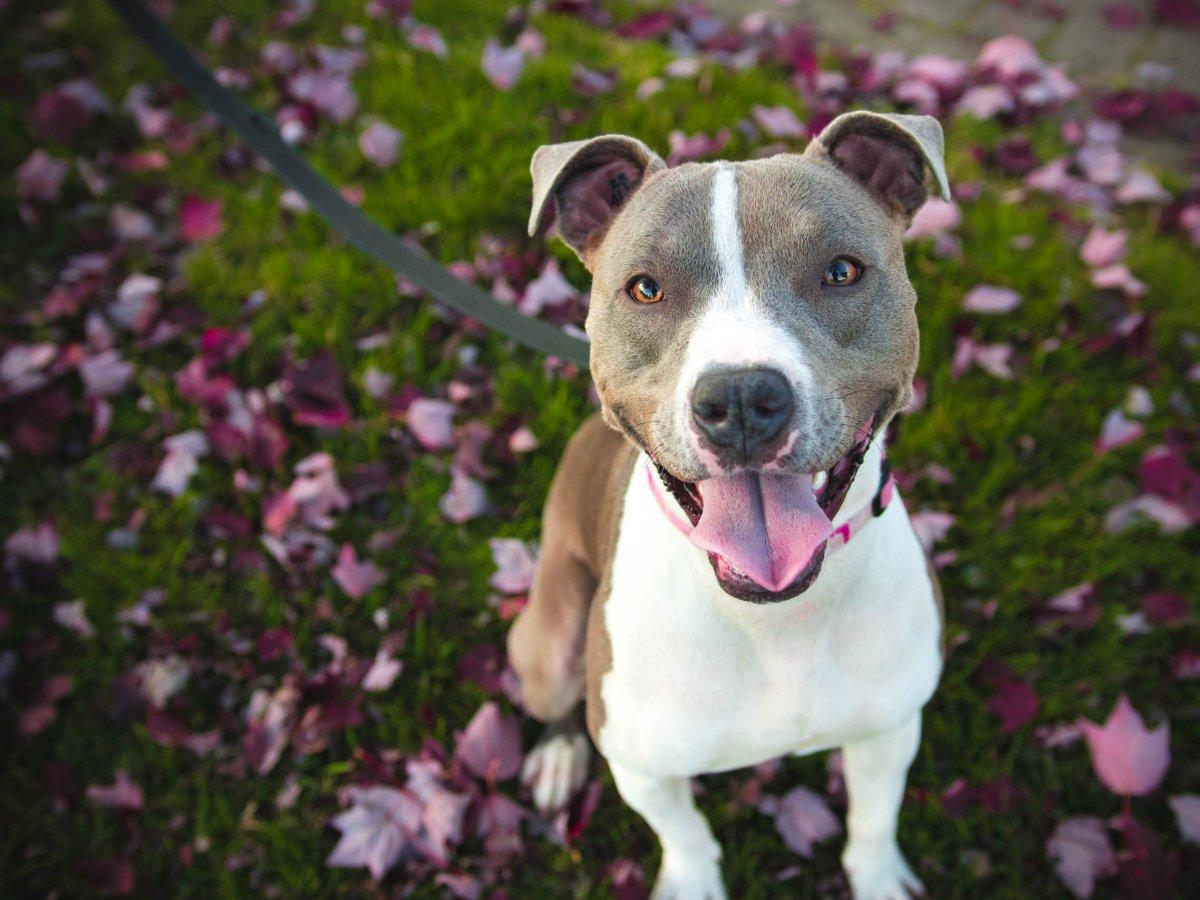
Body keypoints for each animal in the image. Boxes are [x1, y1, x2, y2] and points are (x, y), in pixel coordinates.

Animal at [511, 111, 950, 900]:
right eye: (645, 289)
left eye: (842, 271)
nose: (742, 397)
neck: (775, 615)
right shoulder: (643, 766)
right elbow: (685, 836)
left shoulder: (890, 728)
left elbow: (873, 823)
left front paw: (877, 879)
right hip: (549, 641)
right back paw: (559, 757)